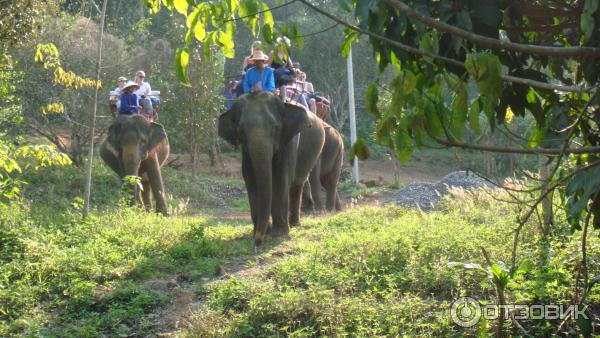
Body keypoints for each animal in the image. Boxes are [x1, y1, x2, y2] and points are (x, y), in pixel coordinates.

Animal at [219, 92, 326, 246]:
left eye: (275, 128)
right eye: (241, 131)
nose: (258, 241)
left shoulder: (289, 141)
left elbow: (280, 178)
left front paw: (279, 235)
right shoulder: (245, 151)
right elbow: (250, 179)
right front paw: (259, 233)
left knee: (297, 184)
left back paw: (295, 225)